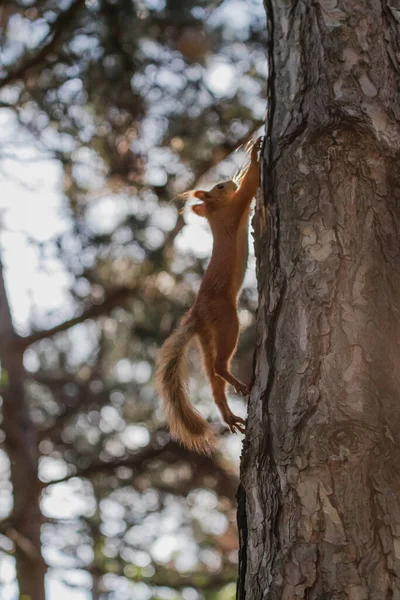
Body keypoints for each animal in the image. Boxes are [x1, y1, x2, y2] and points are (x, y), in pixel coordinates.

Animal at [154, 137, 262, 454]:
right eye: (220, 187)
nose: (229, 181)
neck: (215, 215)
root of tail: (196, 314)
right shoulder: (236, 209)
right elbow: (250, 187)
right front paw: (254, 155)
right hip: (227, 319)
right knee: (218, 365)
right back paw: (239, 385)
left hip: (207, 336)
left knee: (213, 381)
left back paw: (229, 415)